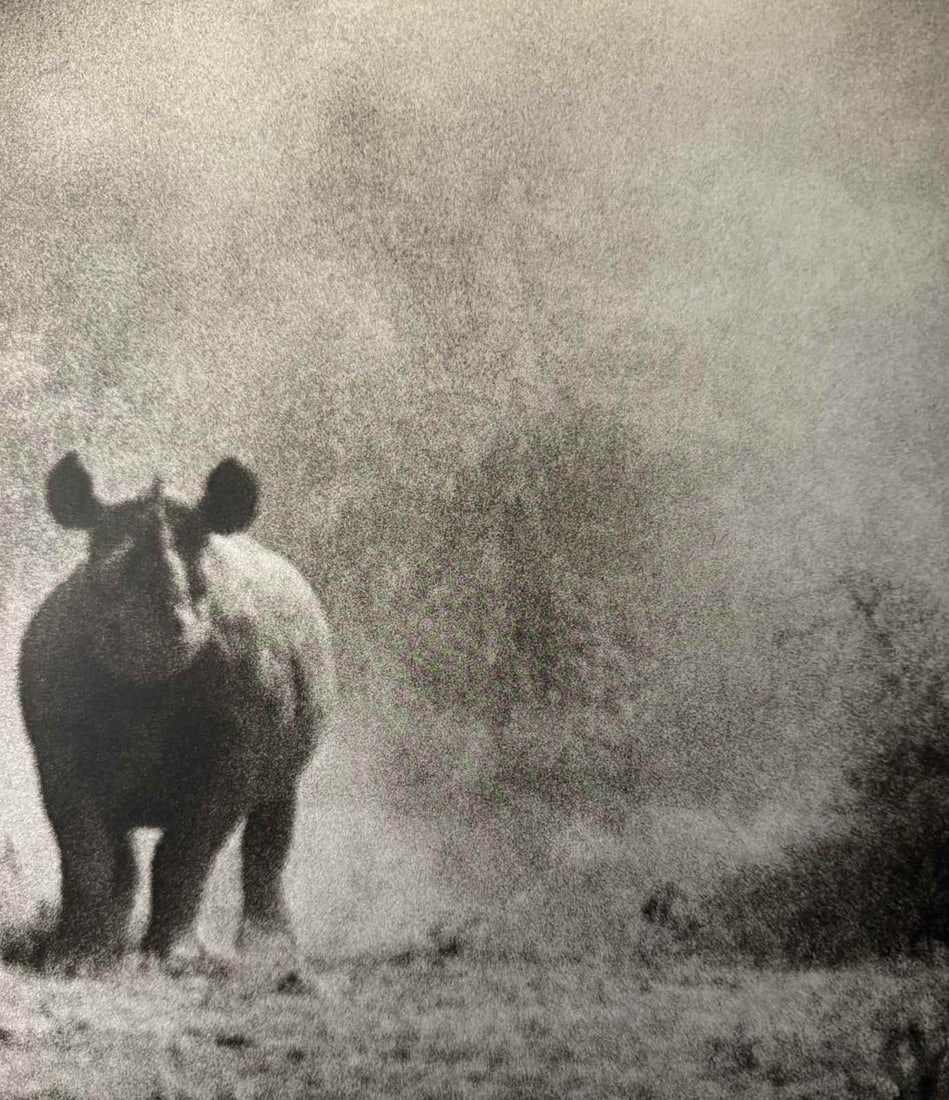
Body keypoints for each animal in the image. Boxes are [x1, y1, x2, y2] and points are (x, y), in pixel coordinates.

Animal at [18, 453, 336, 970]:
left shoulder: (235, 747)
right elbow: (83, 843)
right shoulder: (58, 742)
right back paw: (112, 942)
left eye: (201, 590)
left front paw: (176, 961)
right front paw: (73, 959)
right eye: (97, 588)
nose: (151, 638)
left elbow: (189, 847)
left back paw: (270, 953)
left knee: (277, 800)